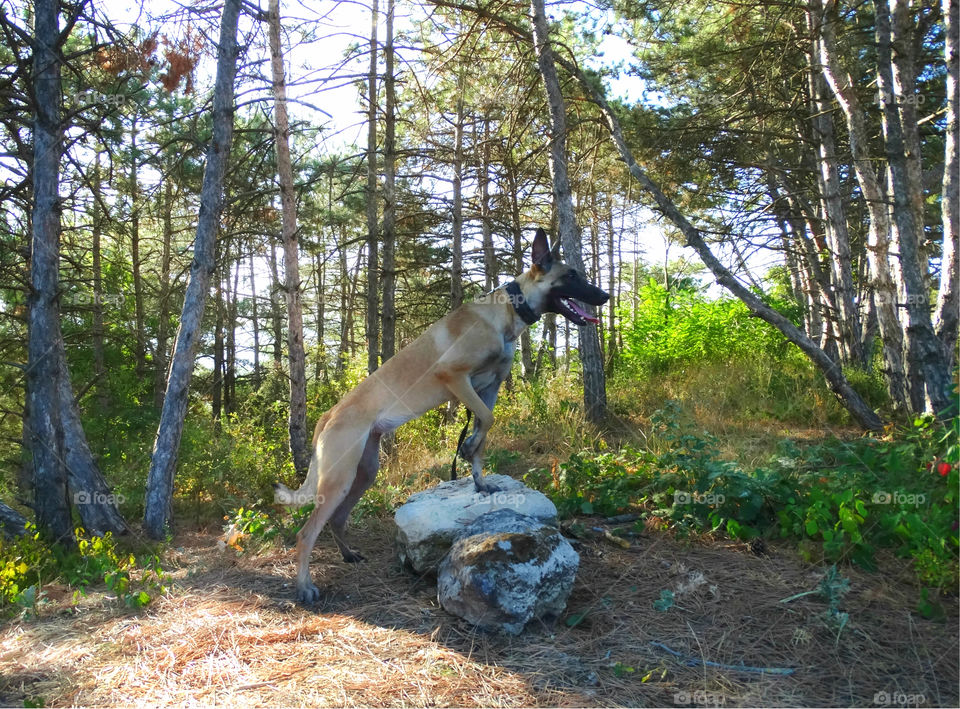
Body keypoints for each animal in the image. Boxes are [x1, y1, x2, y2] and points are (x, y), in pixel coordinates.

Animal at [274, 228, 612, 604]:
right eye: (572, 276)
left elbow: (483, 428)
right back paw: (304, 586)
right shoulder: (455, 378)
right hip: (339, 478)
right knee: (306, 533)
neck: (507, 310)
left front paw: (479, 477)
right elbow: (486, 423)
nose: (606, 295)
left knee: (336, 520)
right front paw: (469, 448)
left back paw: (347, 554)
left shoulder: (489, 389)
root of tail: (330, 413)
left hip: (363, 472)